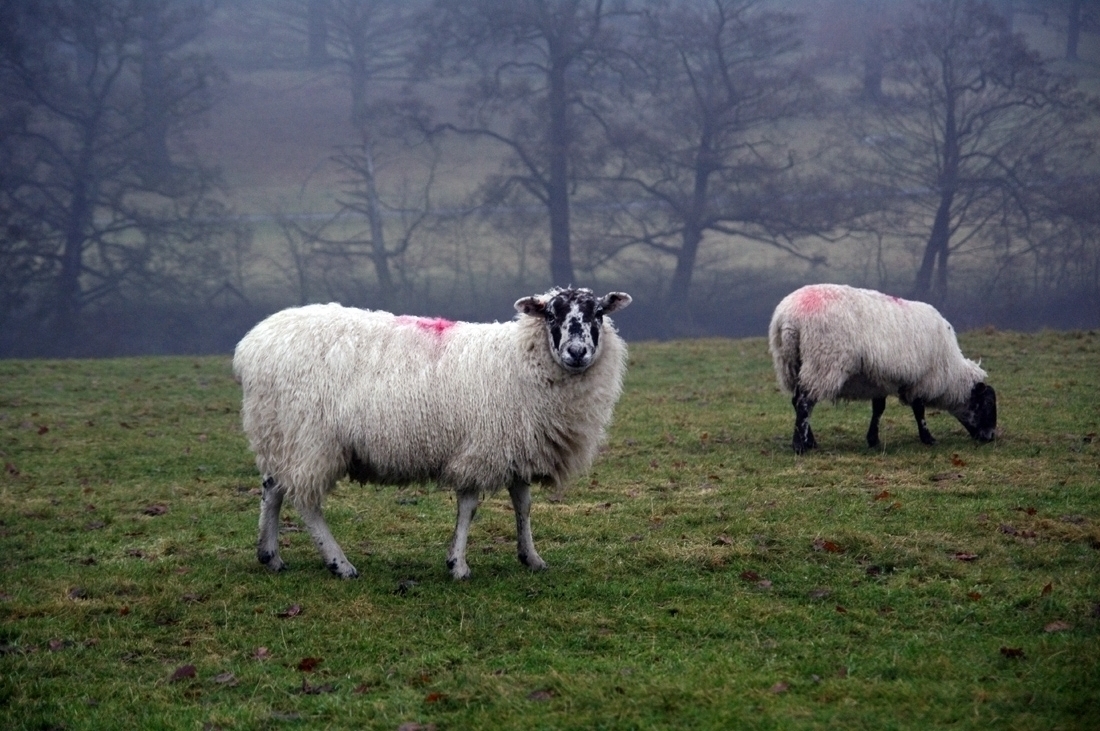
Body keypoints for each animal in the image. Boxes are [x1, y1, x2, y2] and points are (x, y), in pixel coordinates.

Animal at [232, 287, 632, 579]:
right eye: (552, 314)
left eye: (599, 313)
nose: (577, 352)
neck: (518, 359)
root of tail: (251, 346)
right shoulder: (480, 446)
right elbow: (469, 506)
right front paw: (458, 565)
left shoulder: (516, 444)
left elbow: (523, 504)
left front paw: (531, 557)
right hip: (309, 437)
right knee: (305, 501)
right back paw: (340, 564)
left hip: (279, 431)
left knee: (272, 488)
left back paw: (270, 556)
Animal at [768, 284, 997, 454]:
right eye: (987, 403)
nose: (992, 436)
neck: (951, 373)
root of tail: (788, 316)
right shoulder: (921, 379)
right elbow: (919, 410)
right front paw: (928, 438)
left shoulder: (879, 380)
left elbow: (878, 409)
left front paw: (873, 440)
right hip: (823, 361)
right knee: (805, 402)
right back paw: (800, 446)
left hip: (790, 362)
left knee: (797, 401)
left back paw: (810, 441)